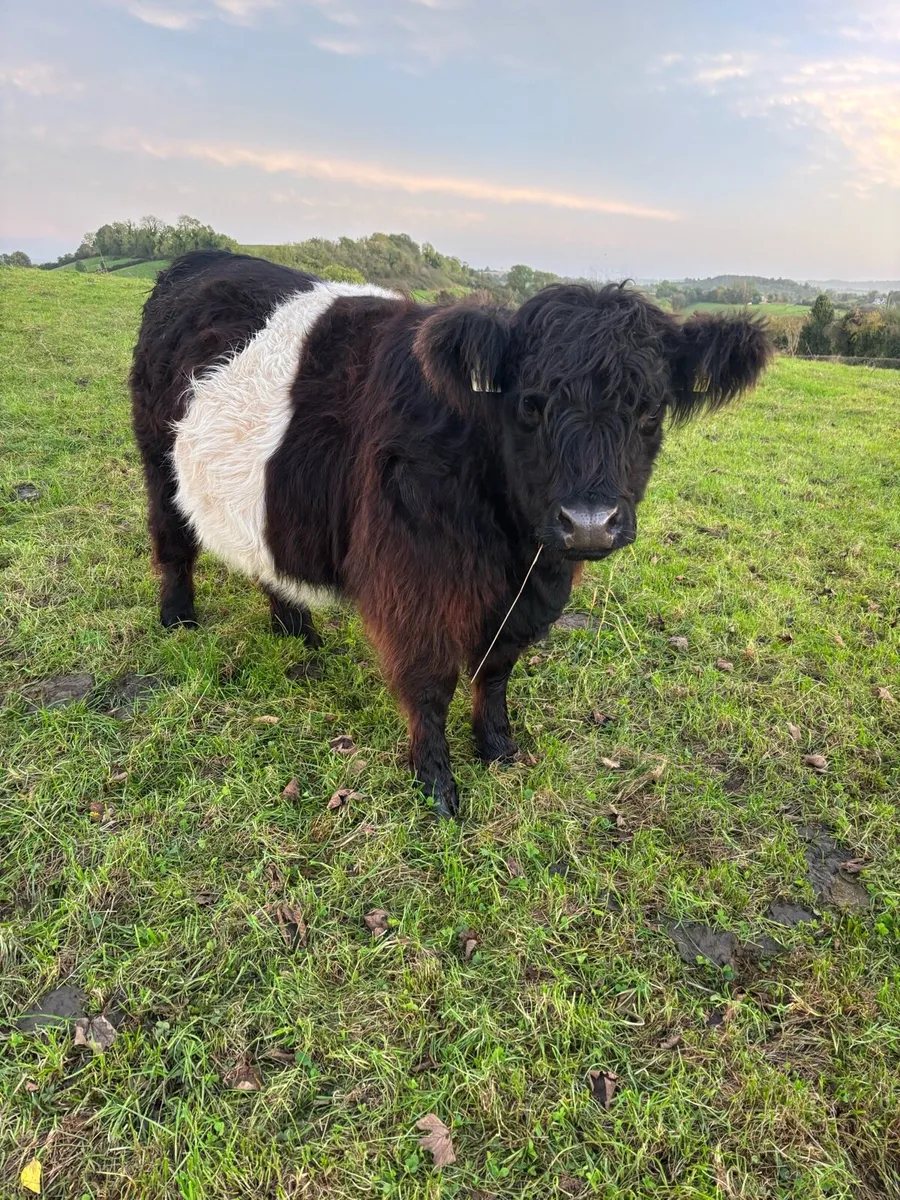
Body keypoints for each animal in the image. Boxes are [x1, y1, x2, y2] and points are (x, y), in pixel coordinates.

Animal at [131, 250, 771, 817]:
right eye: (530, 404)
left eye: (650, 411)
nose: (590, 522)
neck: (510, 542)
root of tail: (199, 258)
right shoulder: (415, 580)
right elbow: (431, 681)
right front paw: (435, 783)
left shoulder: (531, 588)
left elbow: (497, 667)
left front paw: (498, 747)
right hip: (159, 461)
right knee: (173, 542)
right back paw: (179, 617)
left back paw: (296, 630)